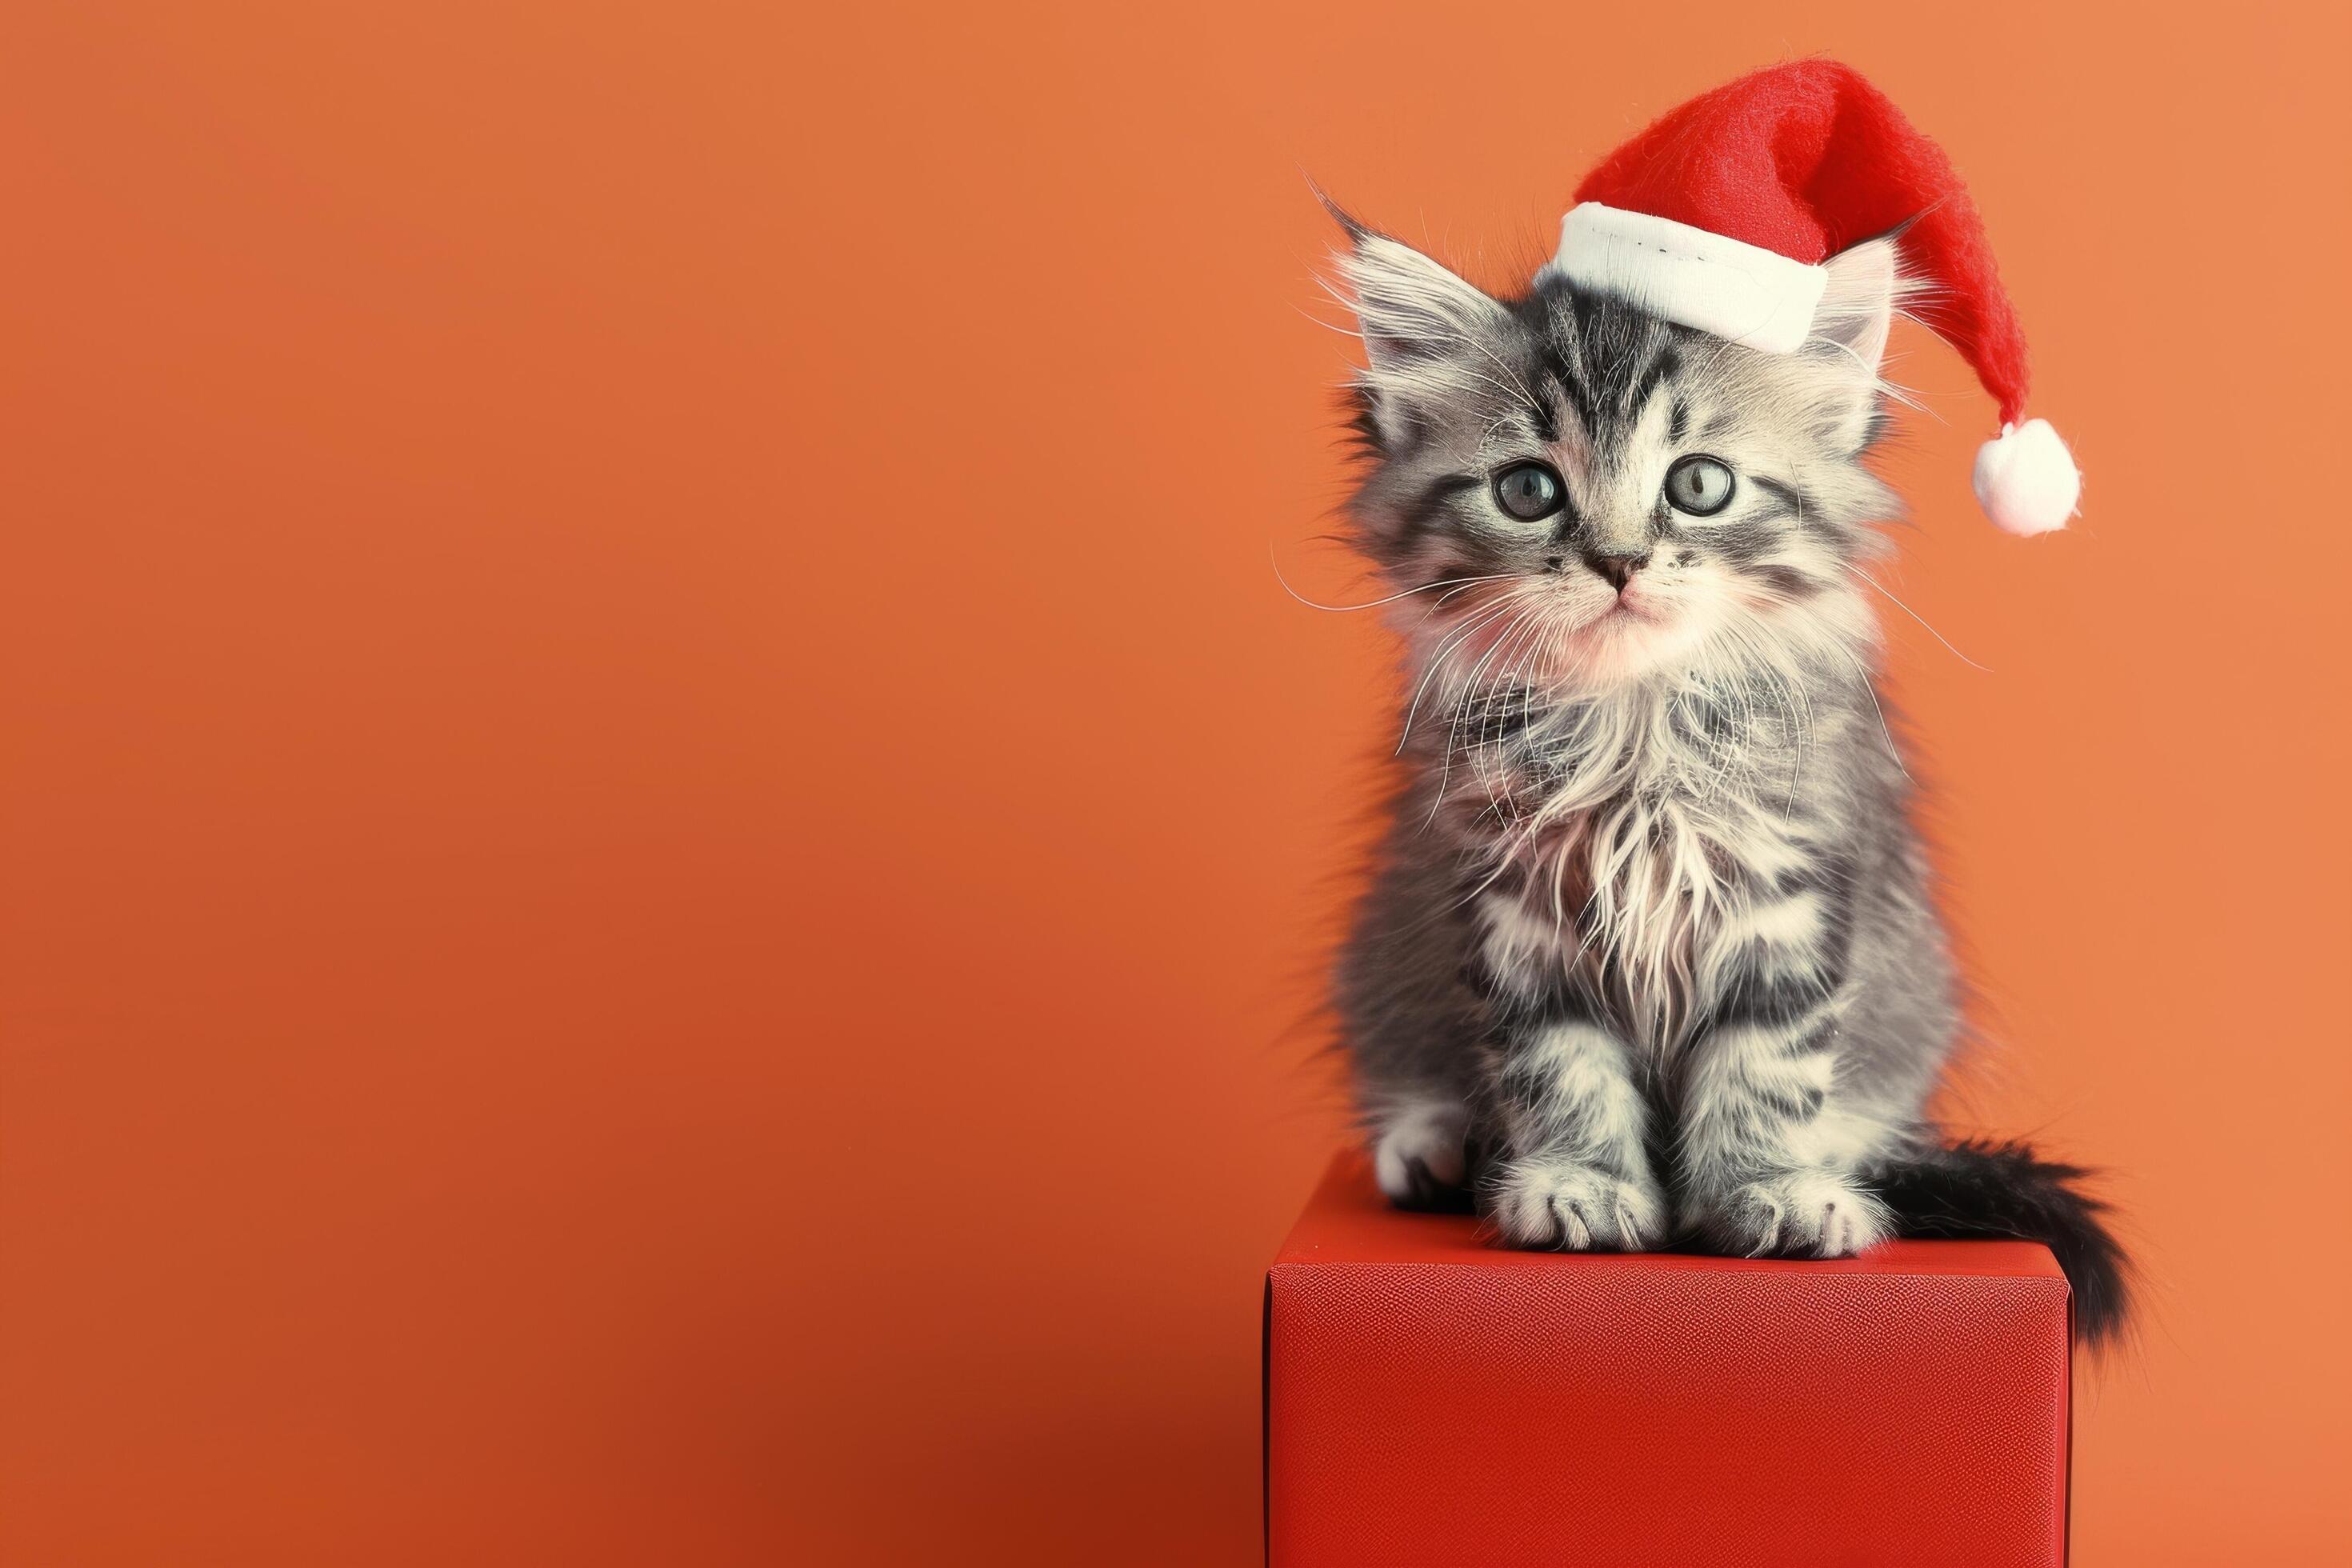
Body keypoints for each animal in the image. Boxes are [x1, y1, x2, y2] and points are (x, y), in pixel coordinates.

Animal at [1326, 211, 2135, 1354]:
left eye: (1698, 484)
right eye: (1528, 490)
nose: (1620, 562)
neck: (1636, 730)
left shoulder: (1792, 891)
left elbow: (1766, 1066)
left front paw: (1767, 1192)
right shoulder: (1511, 902)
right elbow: (1559, 1063)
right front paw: (1578, 1184)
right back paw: (1434, 1144)